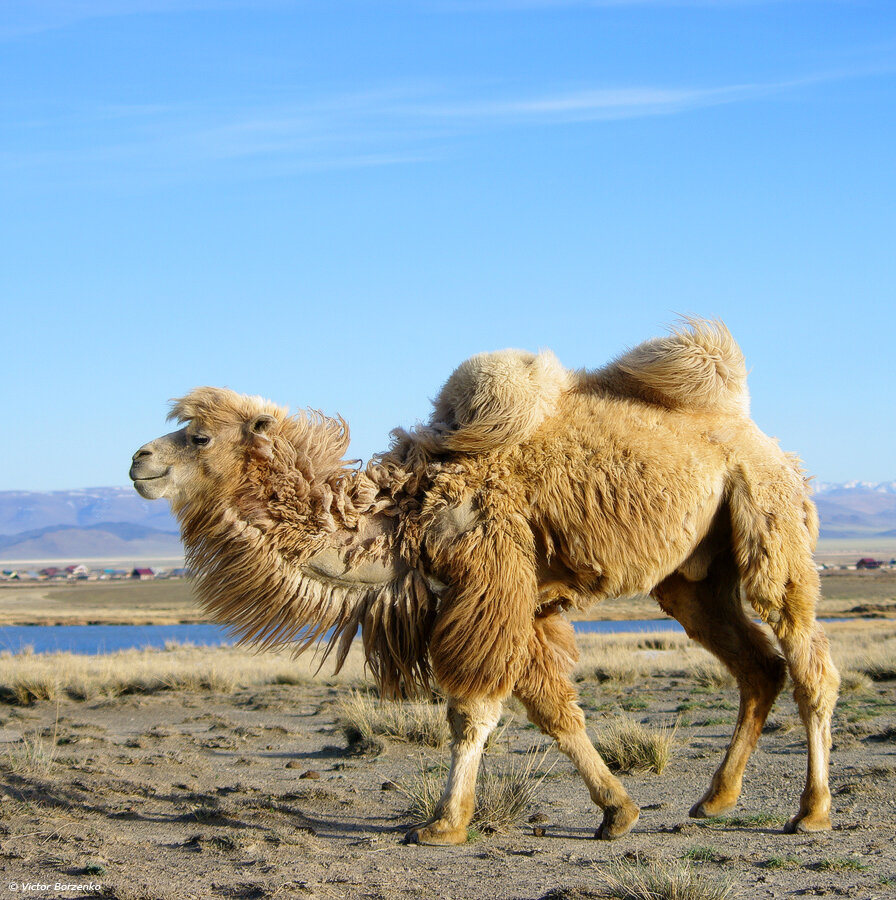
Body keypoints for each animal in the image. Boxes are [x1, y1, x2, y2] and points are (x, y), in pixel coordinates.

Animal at [131, 322, 840, 844]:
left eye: (198, 436)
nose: (139, 459)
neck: (403, 519)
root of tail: (762, 437)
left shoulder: (489, 586)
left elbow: (472, 711)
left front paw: (444, 824)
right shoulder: (510, 604)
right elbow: (552, 709)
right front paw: (617, 811)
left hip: (768, 521)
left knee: (807, 662)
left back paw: (810, 812)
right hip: (694, 577)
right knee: (757, 667)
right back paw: (715, 800)